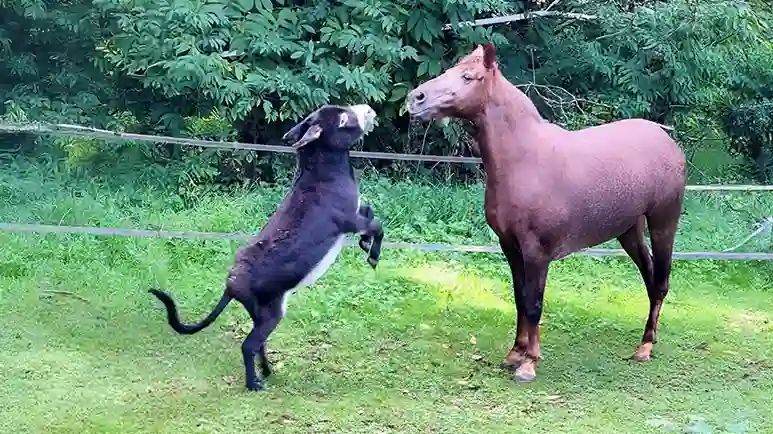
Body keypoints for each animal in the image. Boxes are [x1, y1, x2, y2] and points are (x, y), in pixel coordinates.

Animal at [406, 43, 686, 382]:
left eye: (468, 76)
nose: (416, 98)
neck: (525, 159)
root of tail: (665, 137)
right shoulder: (510, 247)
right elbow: (520, 298)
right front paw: (514, 353)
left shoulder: (536, 251)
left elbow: (534, 303)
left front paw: (528, 363)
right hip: (629, 231)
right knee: (649, 277)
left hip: (663, 224)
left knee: (661, 281)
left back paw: (645, 347)